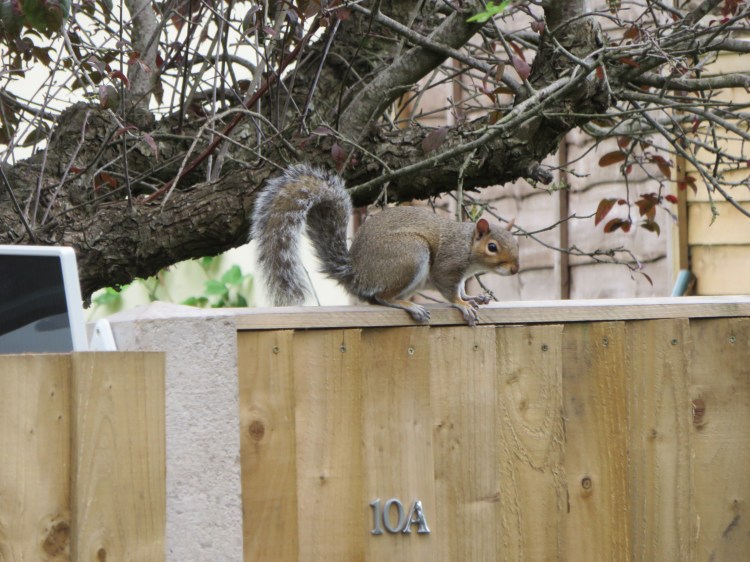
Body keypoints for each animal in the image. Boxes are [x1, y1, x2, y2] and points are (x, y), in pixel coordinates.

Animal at [251, 164, 519, 326]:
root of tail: (357, 275)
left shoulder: (461, 275)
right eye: (492, 247)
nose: (515, 269)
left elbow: (461, 288)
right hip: (411, 254)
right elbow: (449, 290)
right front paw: (463, 304)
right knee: (382, 297)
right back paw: (409, 306)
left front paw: (473, 298)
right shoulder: (448, 265)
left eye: (516, 243)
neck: (467, 246)